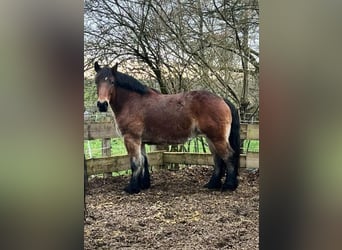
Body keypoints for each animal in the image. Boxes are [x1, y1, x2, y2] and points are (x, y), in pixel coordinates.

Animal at [92, 61, 239, 194]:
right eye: (96, 81)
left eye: (112, 82)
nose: (102, 104)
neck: (132, 102)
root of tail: (222, 100)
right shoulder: (141, 141)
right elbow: (144, 161)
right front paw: (144, 184)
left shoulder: (131, 139)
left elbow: (135, 163)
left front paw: (132, 188)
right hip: (210, 138)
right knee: (218, 159)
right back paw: (212, 184)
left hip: (217, 138)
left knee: (229, 156)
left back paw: (229, 186)